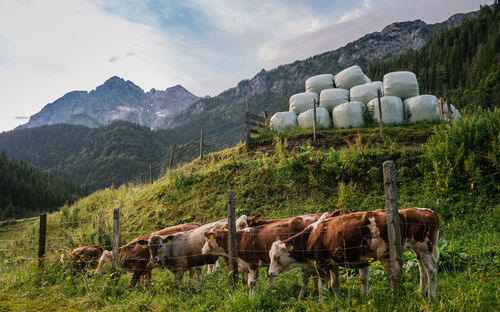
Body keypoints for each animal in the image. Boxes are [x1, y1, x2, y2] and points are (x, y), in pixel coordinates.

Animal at [200, 213, 340, 298]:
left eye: (242, 224)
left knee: (313, 276)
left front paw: (254, 298)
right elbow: (260, 279)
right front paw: (267, 291)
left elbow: (253, 282)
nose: (202, 250)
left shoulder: (253, 263)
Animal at [270, 208, 438, 302]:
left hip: (393, 253)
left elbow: (322, 286)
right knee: (424, 269)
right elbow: (335, 284)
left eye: (276, 257)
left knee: (420, 271)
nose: (270, 273)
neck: (312, 236)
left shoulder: (321, 263)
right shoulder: (333, 264)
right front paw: (337, 301)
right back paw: (424, 293)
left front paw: (322, 302)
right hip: (420, 250)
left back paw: (418, 296)